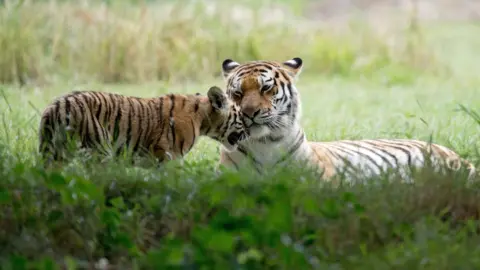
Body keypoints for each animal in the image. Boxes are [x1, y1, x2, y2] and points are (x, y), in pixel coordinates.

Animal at [38, 86, 248, 167]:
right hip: (99, 151)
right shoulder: (168, 157)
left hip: (55, 155)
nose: (249, 132)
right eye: (242, 116)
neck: (203, 119)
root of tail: (56, 106)